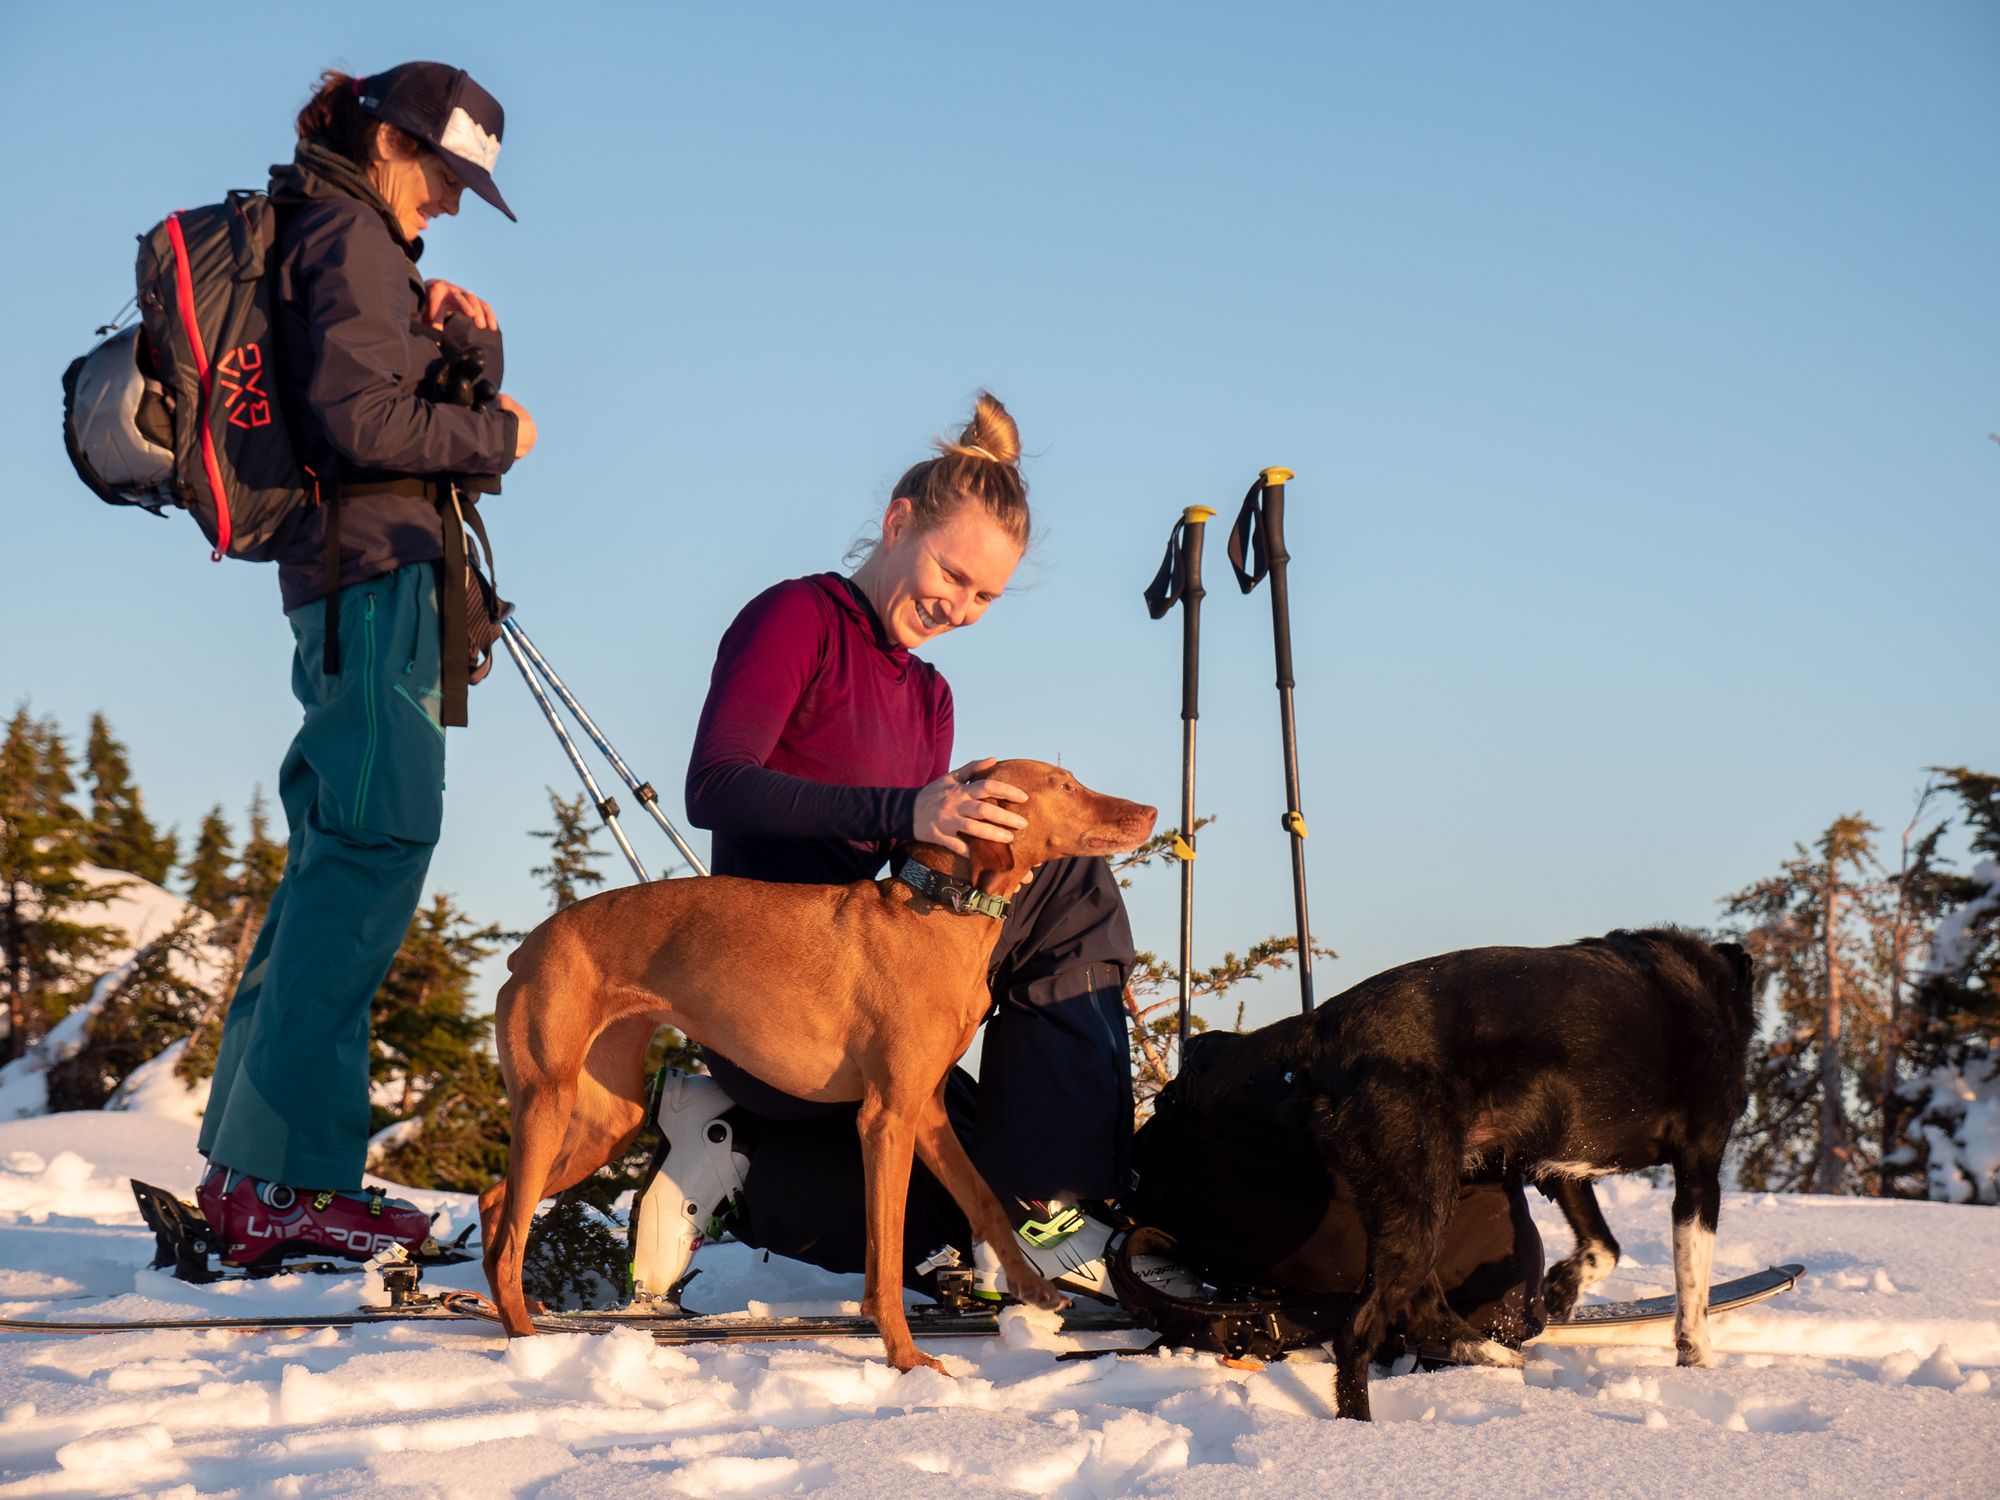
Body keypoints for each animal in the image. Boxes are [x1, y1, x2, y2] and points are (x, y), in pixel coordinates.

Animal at [482, 764, 1160, 1376]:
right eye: (1065, 785)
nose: (1151, 812)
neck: (942, 912)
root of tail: (529, 945)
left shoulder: (927, 1112)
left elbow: (985, 1200)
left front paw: (1032, 1289)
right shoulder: (885, 1118)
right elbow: (885, 1254)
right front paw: (906, 1359)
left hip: (605, 1121)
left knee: (497, 1203)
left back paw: (510, 1312)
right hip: (549, 1101)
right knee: (512, 1232)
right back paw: (526, 1341)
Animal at [1296, 928, 1752, 1424]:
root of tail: (1323, 1032)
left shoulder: (1565, 1165)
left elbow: (1605, 1246)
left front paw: (1563, 1288)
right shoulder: (1698, 1171)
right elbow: (1693, 1290)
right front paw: (1698, 1363)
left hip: (1411, 1204)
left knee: (1424, 1306)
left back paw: (1494, 1356)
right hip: (1418, 1203)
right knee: (1357, 1334)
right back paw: (1359, 1425)